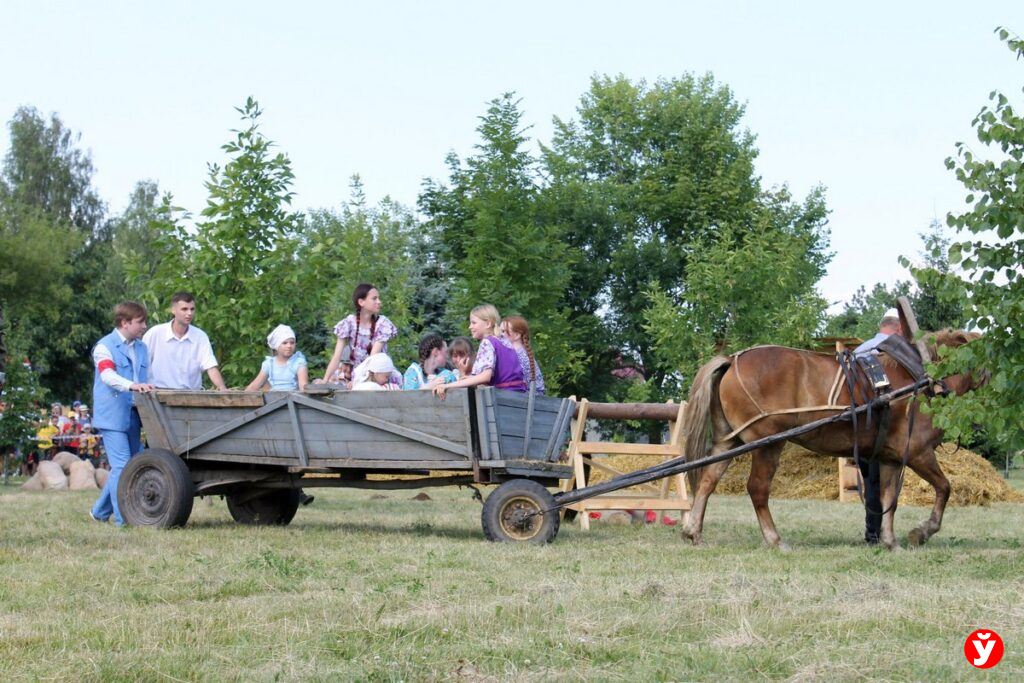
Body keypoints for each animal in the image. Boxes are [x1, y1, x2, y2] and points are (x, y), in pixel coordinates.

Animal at [679, 329, 983, 548]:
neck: (918, 379)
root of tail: (731, 360)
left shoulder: (891, 458)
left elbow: (888, 500)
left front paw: (889, 541)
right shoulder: (919, 452)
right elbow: (944, 488)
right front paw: (922, 532)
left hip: (729, 440)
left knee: (707, 480)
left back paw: (693, 531)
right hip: (769, 443)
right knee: (757, 489)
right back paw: (774, 539)